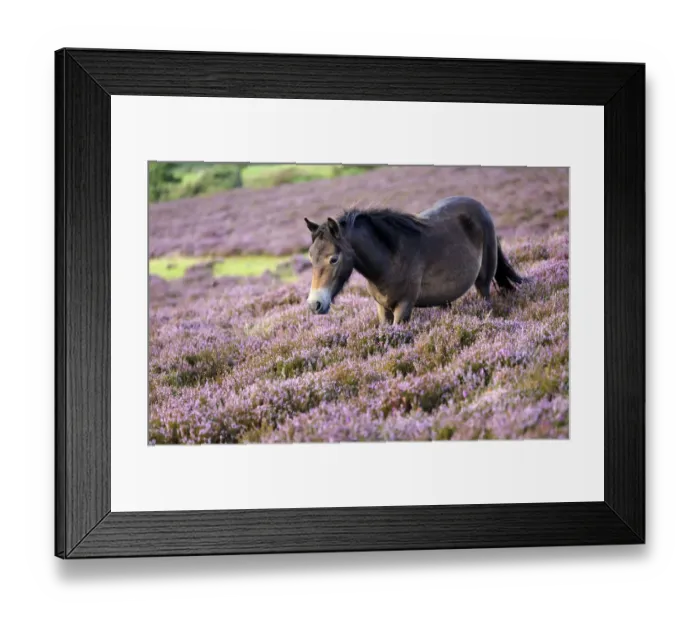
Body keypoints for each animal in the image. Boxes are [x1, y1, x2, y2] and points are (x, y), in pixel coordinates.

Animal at [304, 196, 524, 325]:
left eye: (333, 259)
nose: (315, 304)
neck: (390, 259)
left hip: (483, 284)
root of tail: (480, 208)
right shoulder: (382, 309)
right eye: (311, 257)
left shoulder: (404, 307)